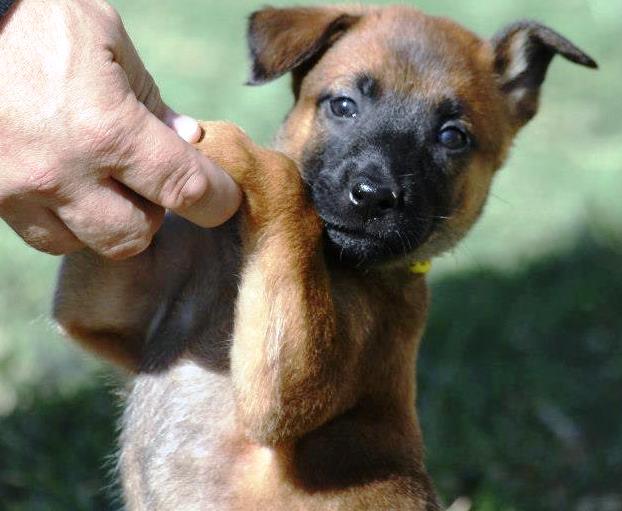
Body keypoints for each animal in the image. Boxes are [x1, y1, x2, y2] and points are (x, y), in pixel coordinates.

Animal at [51, 5, 596, 511]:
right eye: (343, 105)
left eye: (452, 137)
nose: (373, 196)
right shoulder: (109, 315)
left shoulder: (293, 387)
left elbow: (285, 182)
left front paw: (231, 144)